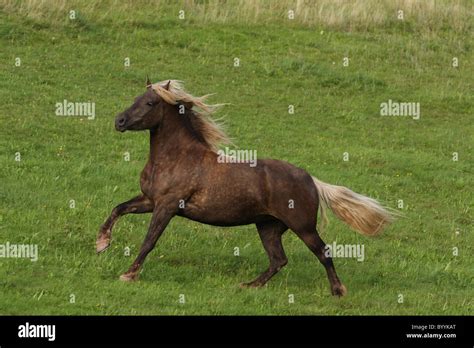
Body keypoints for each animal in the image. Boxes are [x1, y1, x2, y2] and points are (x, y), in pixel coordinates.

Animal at [96, 78, 392, 296]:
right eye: (135, 99)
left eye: (150, 102)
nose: (119, 121)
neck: (178, 157)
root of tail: (311, 180)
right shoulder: (150, 200)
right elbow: (118, 209)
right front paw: (101, 244)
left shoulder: (167, 206)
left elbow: (149, 240)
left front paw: (128, 274)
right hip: (268, 226)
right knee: (278, 260)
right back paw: (250, 285)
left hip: (303, 227)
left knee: (323, 252)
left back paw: (338, 291)